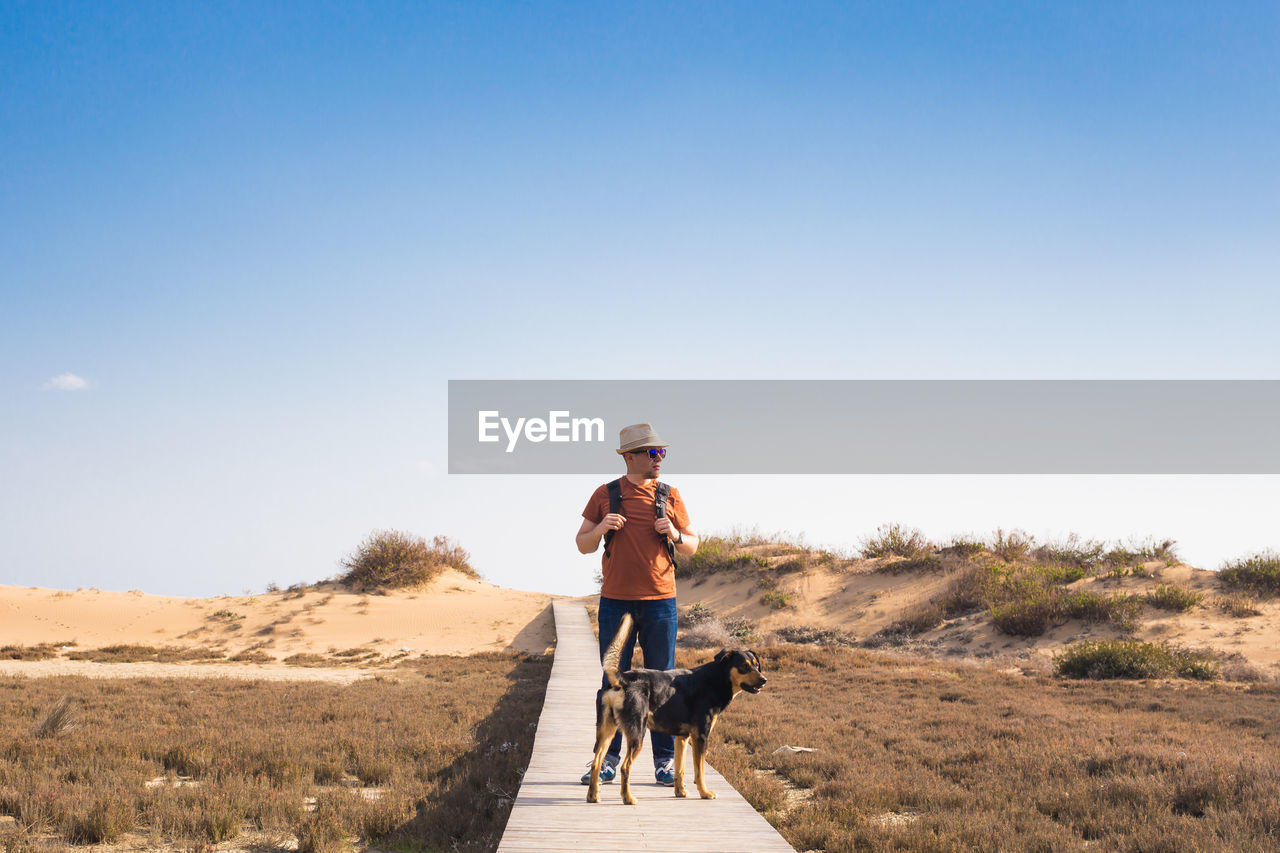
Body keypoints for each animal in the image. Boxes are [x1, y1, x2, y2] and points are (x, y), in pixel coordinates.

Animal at [586, 607, 762, 799]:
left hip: (607, 730)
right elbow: (699, 770)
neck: (716, 678)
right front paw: (704, 792)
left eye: (756, 665)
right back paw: (628, 799)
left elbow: (680, 769)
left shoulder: (681, 738)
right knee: (625, 767)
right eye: (744, 666)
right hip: (637, 733)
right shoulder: (700, 736)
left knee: (596, 762)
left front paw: (680, 791)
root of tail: (624, 678)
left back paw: (593, 796)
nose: (764, 680)